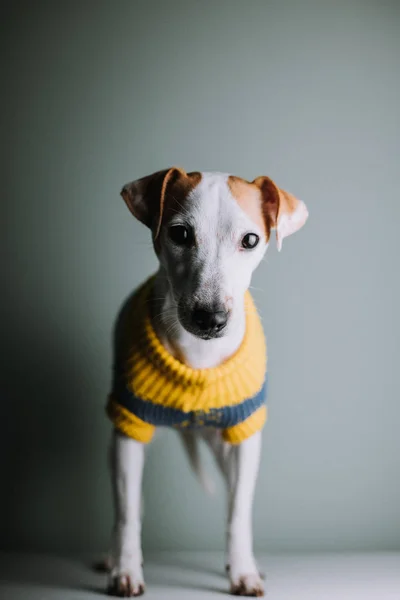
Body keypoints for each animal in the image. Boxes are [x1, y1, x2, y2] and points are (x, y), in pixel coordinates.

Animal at [104, 169, 308, 596]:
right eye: (180, 233)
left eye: (251, 240)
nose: (210, 318)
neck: (197, 357)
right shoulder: (130, 431)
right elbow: (128, 513)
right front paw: (126, 570)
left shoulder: (243, 439)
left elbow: (238, 512)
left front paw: (243, 571)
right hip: (121, 446)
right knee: (125, 504)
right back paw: (112, 558)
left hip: (219, 445)